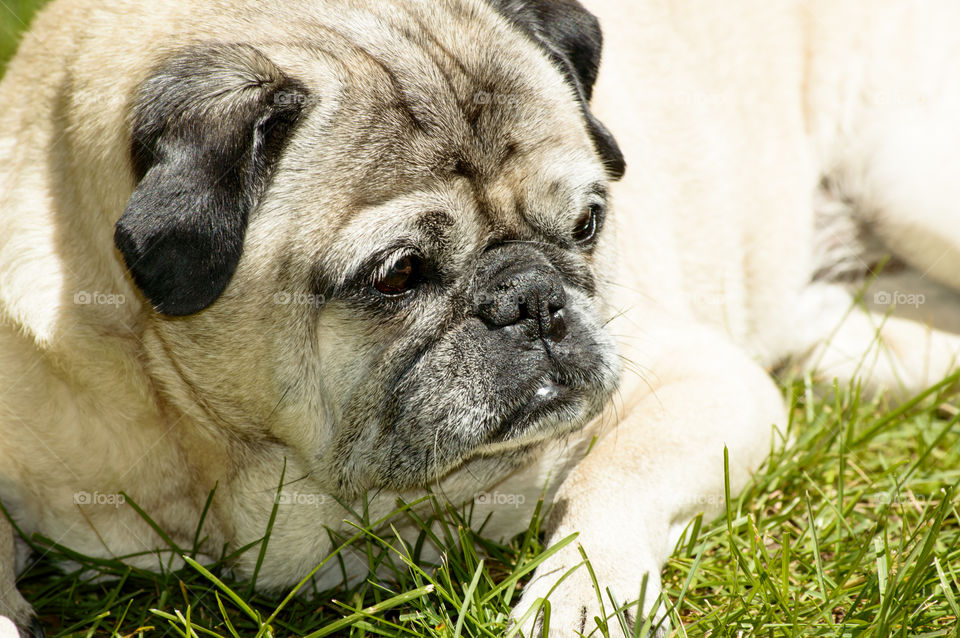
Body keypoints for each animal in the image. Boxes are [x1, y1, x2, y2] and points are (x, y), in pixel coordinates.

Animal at [0, 0, 956, 636]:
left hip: (900, 172)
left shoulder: (701, 382)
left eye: (587, 225)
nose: (533, 298)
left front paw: (580, 602)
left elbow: (614, 484)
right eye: (398, 275)